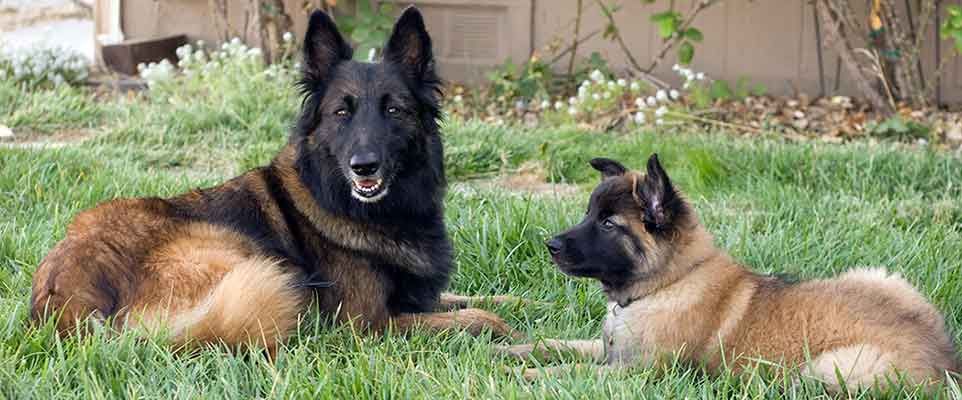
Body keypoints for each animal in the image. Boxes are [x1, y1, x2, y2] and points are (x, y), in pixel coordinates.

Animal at [30, 7, 516, 354]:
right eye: (341, 112)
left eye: (394, 109)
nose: (364, 166)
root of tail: (65, 300)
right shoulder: (368, 325)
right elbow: (479, 318)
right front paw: (512, 338)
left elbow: (479, 299)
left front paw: (523, 302)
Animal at [498, 155, 956, 392]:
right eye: (589, 213)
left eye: (609, 224)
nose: (550, 245)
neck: (668, 283)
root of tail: (946, 364)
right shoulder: (610, 351)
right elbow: (559, 345)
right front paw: (507, 351)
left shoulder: (638, 371)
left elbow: (568, 370)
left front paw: (523, 375)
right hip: (881, 278)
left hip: (833, 367)